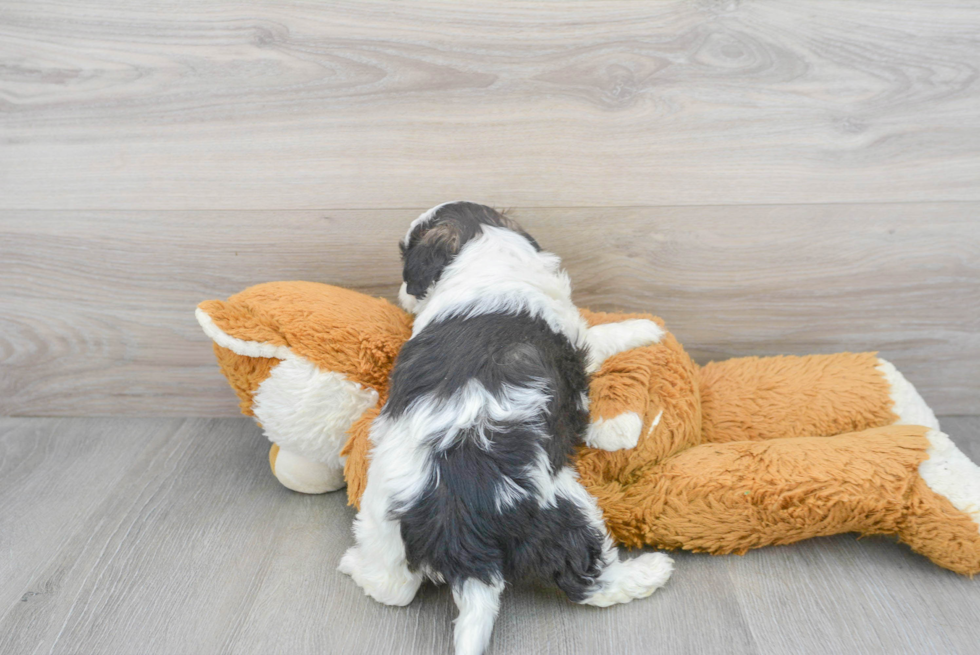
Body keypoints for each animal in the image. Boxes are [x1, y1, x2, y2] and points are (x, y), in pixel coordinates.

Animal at [338, 202, 672, 652]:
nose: (403, 293)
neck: (486, 252)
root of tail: (459, 531)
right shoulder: (575, 343)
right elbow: (599, 338)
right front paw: (644, 328)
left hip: (383, 524)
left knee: (393, 589)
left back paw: (353, 564)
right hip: (562, 508)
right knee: (588, 579)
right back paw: (653, 570)